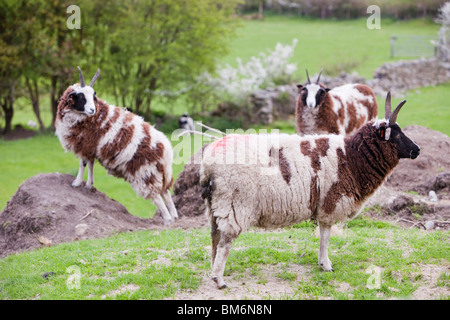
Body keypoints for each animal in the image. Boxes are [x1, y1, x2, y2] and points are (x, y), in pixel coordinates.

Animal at [54, 67, 178, 225]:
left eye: (93, 96)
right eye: (81, 97)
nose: (92, 110)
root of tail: (166, 150)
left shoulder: (84, 145)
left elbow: (83, 164)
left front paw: (76, 182)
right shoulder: (91, 147)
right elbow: (90, 164)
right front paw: (89, 184)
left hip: (144, 172)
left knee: (156, 195)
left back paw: (167, 220)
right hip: (159, 173)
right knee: (165, 192)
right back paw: (174, 216)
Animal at [200, 91, 418, 288]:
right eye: (397, 134)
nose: (417, 150)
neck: (352, 158)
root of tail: (208, 163)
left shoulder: (323, 205)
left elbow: (322, 236)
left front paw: (323, 263)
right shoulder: (330, 203)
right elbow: (326, 237)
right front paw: (326, 265)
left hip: (216, 205)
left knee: (214, 236)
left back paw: (213, 271)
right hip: (235, 204)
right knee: (225, 241)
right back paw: (219, 280)